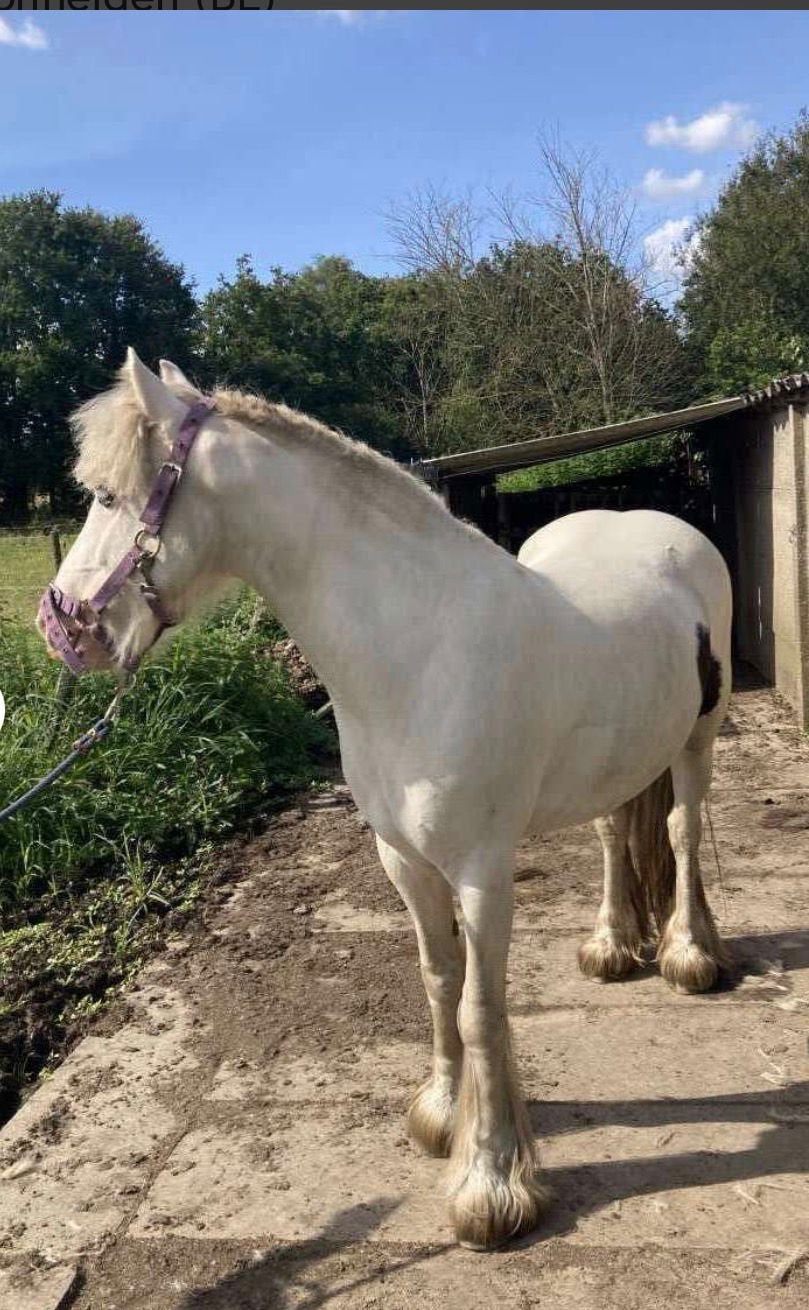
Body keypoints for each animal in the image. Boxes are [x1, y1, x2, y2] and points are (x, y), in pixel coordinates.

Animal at [38, 349, 732, 1250]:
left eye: (108, 495)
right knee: (618, 836)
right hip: (624, 756)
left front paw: (489, 1184)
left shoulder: (481, 871)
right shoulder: (400, 857)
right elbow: (437, 981)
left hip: (696, 739)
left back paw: (688, 955)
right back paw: (612, 946)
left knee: (679, 834)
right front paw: (441, 1116)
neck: (418, 650)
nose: (61, 628)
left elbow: (480, 1008)